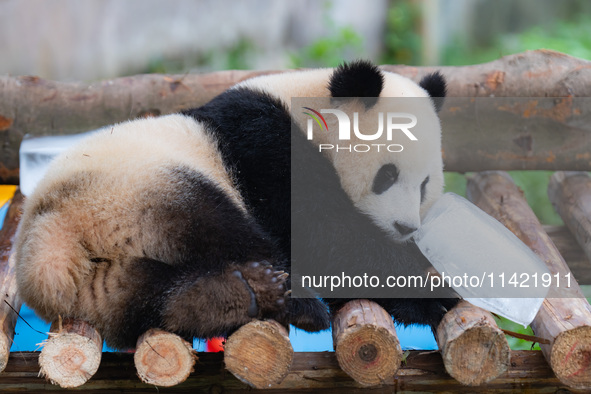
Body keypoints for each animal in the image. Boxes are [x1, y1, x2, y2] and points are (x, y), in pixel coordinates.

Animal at [13, 60, 458, 350]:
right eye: (387, 176)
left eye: (424, 185)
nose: (405, 228)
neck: (308, 111)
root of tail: (50, 241)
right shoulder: (267, 147)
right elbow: (324, 237)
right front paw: (433, 291)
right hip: (139, 185)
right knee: (221, 225)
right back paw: (290, 299)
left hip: (102, 288)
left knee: (151, 297)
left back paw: (218, 299)